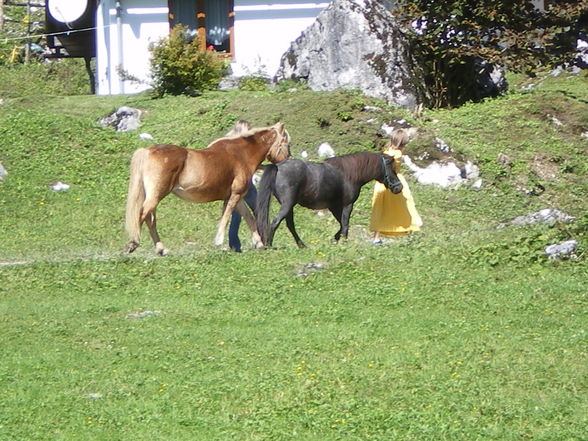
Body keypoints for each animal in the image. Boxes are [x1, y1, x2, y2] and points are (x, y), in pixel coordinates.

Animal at [124, 123, 290, 254]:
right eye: (287, 143)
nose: (288, 160)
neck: (242, 154)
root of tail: (147, 151)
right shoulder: (235, 195)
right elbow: (226, 217)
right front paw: (219, 242)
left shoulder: (236, 197)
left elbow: (248, 217)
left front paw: (259, 243)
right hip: (157, 194)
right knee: (143, 214)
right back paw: (133, 243)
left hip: (153, 196)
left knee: (149, 218)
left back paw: (161, 249)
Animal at [258, 151, 404, 248]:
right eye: (392, 168)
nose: (399, 187)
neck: (348, 174)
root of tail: (277, 167)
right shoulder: (347, 204)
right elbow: (345, 223)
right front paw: (344, 242)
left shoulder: (334, 206)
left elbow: (341, 223)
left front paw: (336, 238)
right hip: (287, 205)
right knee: (275, 222)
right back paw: (269, 246)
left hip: (289, 206)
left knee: (290, 225)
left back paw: (301, 245)